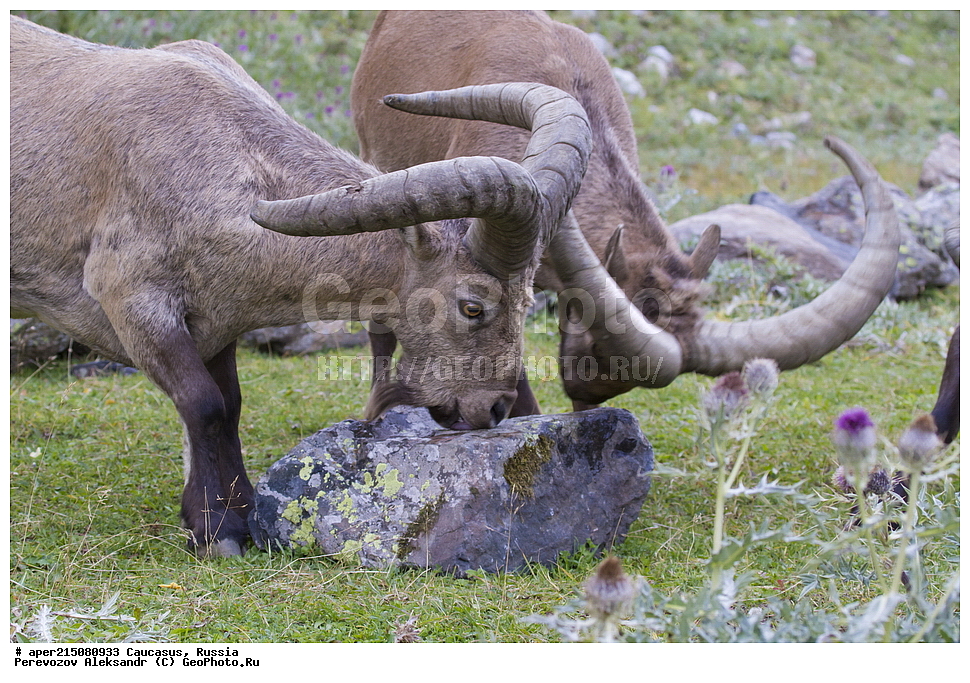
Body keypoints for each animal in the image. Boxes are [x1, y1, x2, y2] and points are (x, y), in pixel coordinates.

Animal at [10, 16, 593, 556]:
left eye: (529, 299)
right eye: (472, 306)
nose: (494, 408)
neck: (223, 165)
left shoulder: (217, 319)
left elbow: (230, 403)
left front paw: (241, 514)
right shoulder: (132, 300)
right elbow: (203, 405)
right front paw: (216, 530)